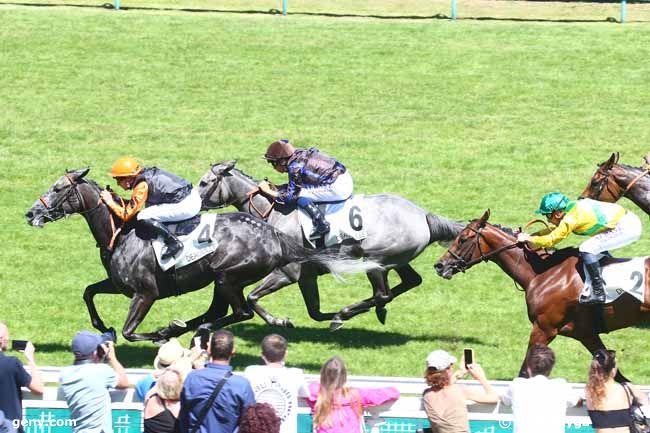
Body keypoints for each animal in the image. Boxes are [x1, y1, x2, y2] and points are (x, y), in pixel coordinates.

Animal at [197, 160, 460, 330]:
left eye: (204, 183)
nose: (194, 205)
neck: (274, 214)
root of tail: (423, 215)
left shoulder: (288, 272)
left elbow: (252, 297)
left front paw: (279, 321)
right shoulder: (307, 275)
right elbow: (314, 311)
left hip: (376, 260)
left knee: (382, 293)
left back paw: (350, 312)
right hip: (396, 260)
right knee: (409, 282)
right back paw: (366, 311)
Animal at [430, 211, 648, 380]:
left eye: (463, 238)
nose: (440, 265)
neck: (542, 273)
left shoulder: (544, 328)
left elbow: (525, 371)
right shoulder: (586, 334)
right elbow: (620, 377)